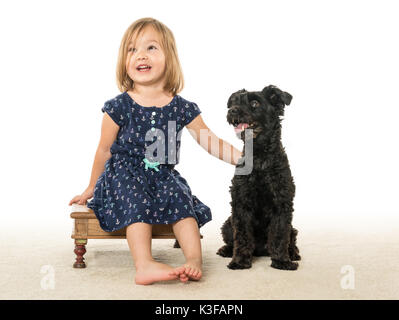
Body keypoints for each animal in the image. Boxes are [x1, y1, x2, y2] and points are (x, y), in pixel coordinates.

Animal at [217, 85, 302, 270]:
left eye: (255, 103)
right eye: (234, 102)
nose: (232, 110)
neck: (260, 157)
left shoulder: (282, 204)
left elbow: (279, 235)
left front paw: (281, 261)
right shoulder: (241, 204)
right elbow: (242, 236)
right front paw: (240, 261)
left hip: (292, 228)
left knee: (290, 239)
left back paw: (293, 253)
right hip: (228, 224)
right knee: (232, 240)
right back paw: (226, 250)